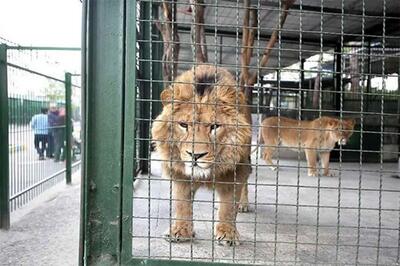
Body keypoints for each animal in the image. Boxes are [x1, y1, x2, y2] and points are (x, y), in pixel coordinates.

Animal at [152, 64, 252, 245]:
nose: (195, 155)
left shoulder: (236, 170)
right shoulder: (179, 173)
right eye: (183, 125)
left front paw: (228, 233)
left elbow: (229, 205)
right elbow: (182, 203)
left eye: (214, 126)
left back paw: (243, 204)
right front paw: (181, 230)